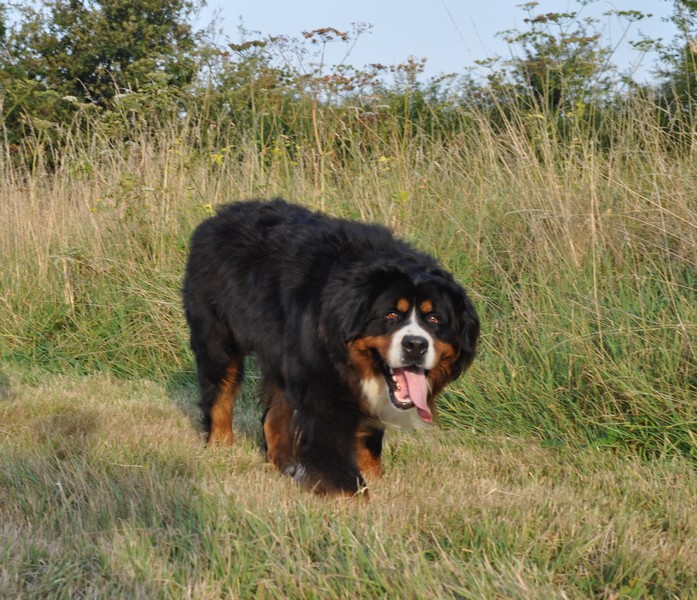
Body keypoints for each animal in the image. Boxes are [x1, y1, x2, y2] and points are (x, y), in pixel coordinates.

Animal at [182, 199, 482, 494]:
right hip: (218, 339)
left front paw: (375, 480)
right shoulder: (322, 387)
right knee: (219, 394)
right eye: (391, 315)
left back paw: (287, 467)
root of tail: (217, 217)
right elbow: (338, 462)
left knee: (273, 417)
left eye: (434, 319)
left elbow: (368, 444)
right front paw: (351, 494)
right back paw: (221, 448)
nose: (415, 345)